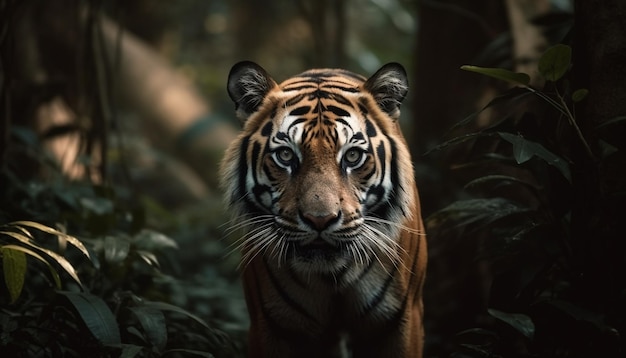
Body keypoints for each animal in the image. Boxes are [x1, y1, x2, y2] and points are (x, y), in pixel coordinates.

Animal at [217, 60, 426, 356]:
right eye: (285, 155)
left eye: (352, 156)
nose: (320, 220)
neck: (331, 277)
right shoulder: (272, 324)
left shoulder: (400, 320)